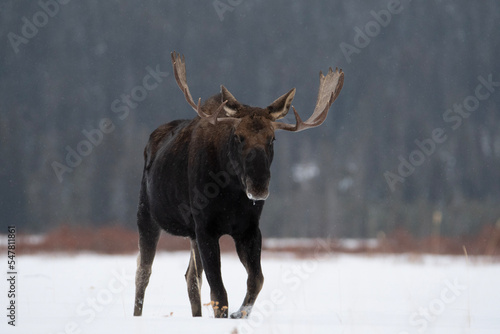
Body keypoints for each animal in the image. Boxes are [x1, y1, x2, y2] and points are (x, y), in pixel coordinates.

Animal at [133, 52, 344, 318]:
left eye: (272, 138)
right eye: (238, 136)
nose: (259, 186)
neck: (231, 193)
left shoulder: (248, 228)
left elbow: (256, 280)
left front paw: (239, 313)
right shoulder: (206, 227)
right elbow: (219, 293)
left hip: (190, 234)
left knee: (191, 277)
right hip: (146, 215)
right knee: (143, 273)